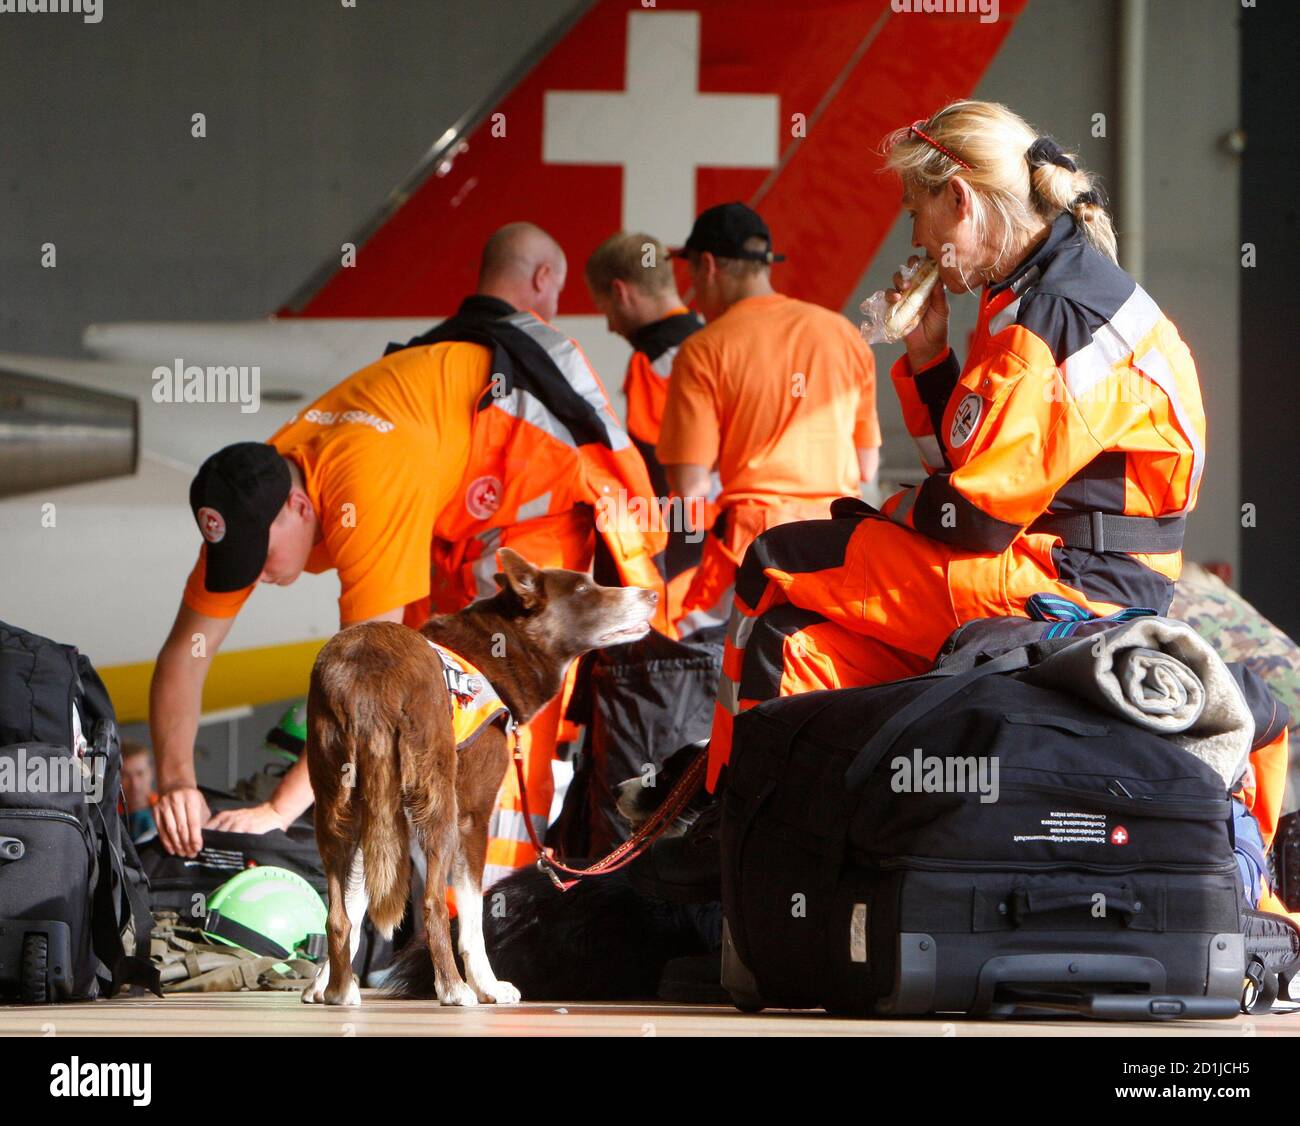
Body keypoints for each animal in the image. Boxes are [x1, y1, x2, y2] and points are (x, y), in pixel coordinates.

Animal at [299, 548, 655, 1003]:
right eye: (582, 589)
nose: (651, 593)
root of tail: (369, 675)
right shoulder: (473, 815)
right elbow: (470, 916)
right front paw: (487, 985)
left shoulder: (375, 814)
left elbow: (355, 904)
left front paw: (325, 983)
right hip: (438, 807)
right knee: (434, 904)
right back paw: (453, 989)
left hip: (335, 801)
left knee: (336, 912)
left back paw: (344, 992)